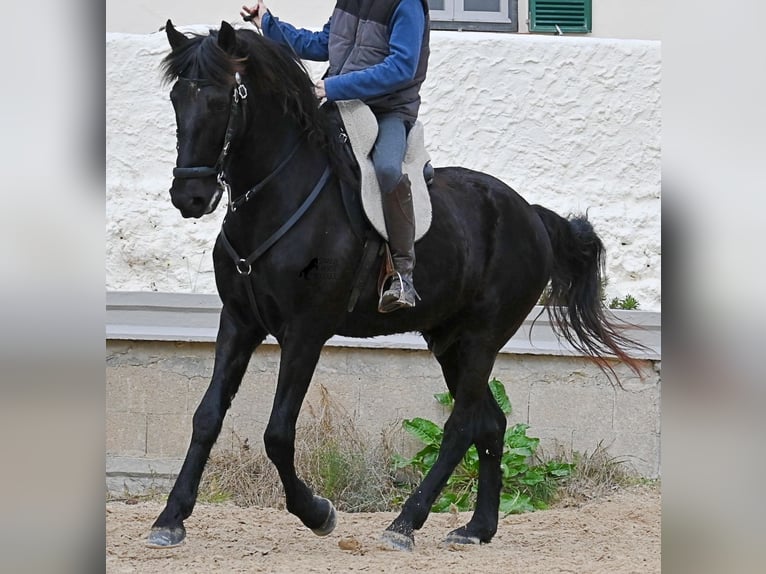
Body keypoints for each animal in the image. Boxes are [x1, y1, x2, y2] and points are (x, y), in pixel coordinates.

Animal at [146, 19, 645, 551]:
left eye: (222, 101)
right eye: (177, 98)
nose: (189, 196)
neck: (277, 198)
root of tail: (531, 214)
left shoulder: (305, 332)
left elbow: (277, 433)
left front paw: (317, 513)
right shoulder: (239, 323)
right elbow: (206, 417)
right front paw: (170, 518)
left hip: (483, 338)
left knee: (462, 425)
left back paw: (406, 522)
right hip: (450, 340)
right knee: (490, 424)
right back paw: (477, 528)